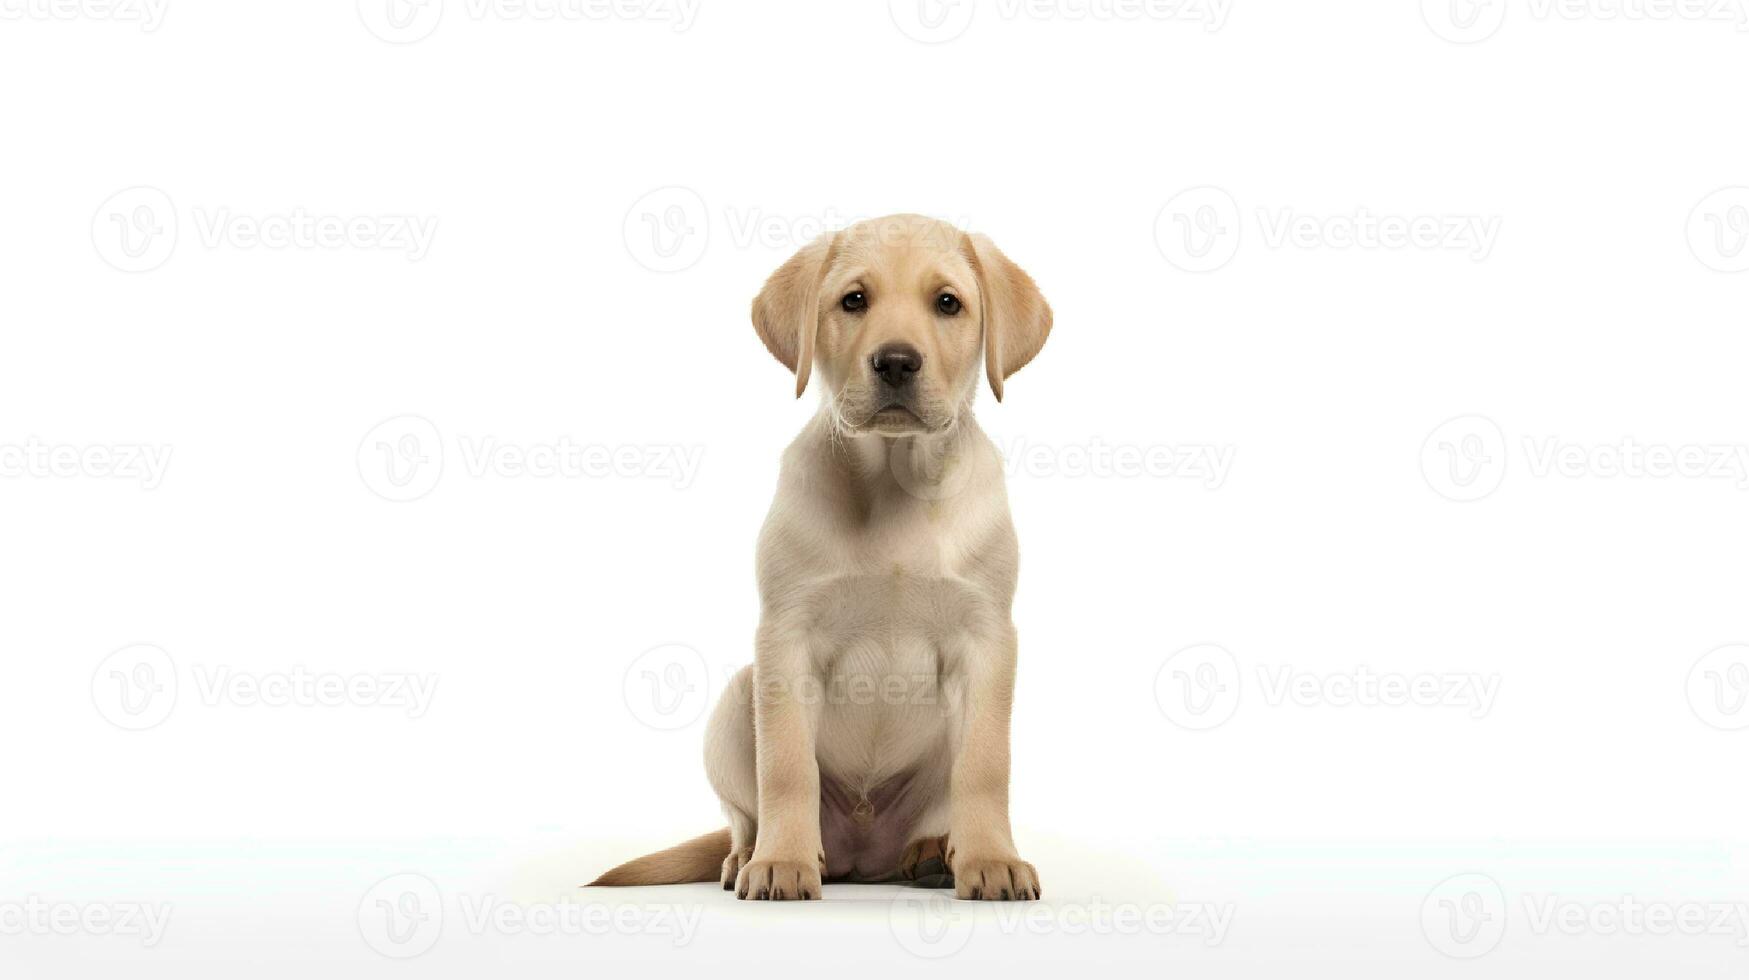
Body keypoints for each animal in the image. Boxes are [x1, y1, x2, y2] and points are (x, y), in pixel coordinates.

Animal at [594, 214, 1042, 903]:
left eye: (948, 303)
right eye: (853, 300)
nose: (895, 362)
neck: (893, 481)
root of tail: (863, 855)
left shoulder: (987, 639)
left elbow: (986, 766)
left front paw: (992, 859)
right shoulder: (786, 637)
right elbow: (786, 766)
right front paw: (783, 862)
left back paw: (934, 853)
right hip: (738, 698)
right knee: (741, 816)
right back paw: (749, 857)